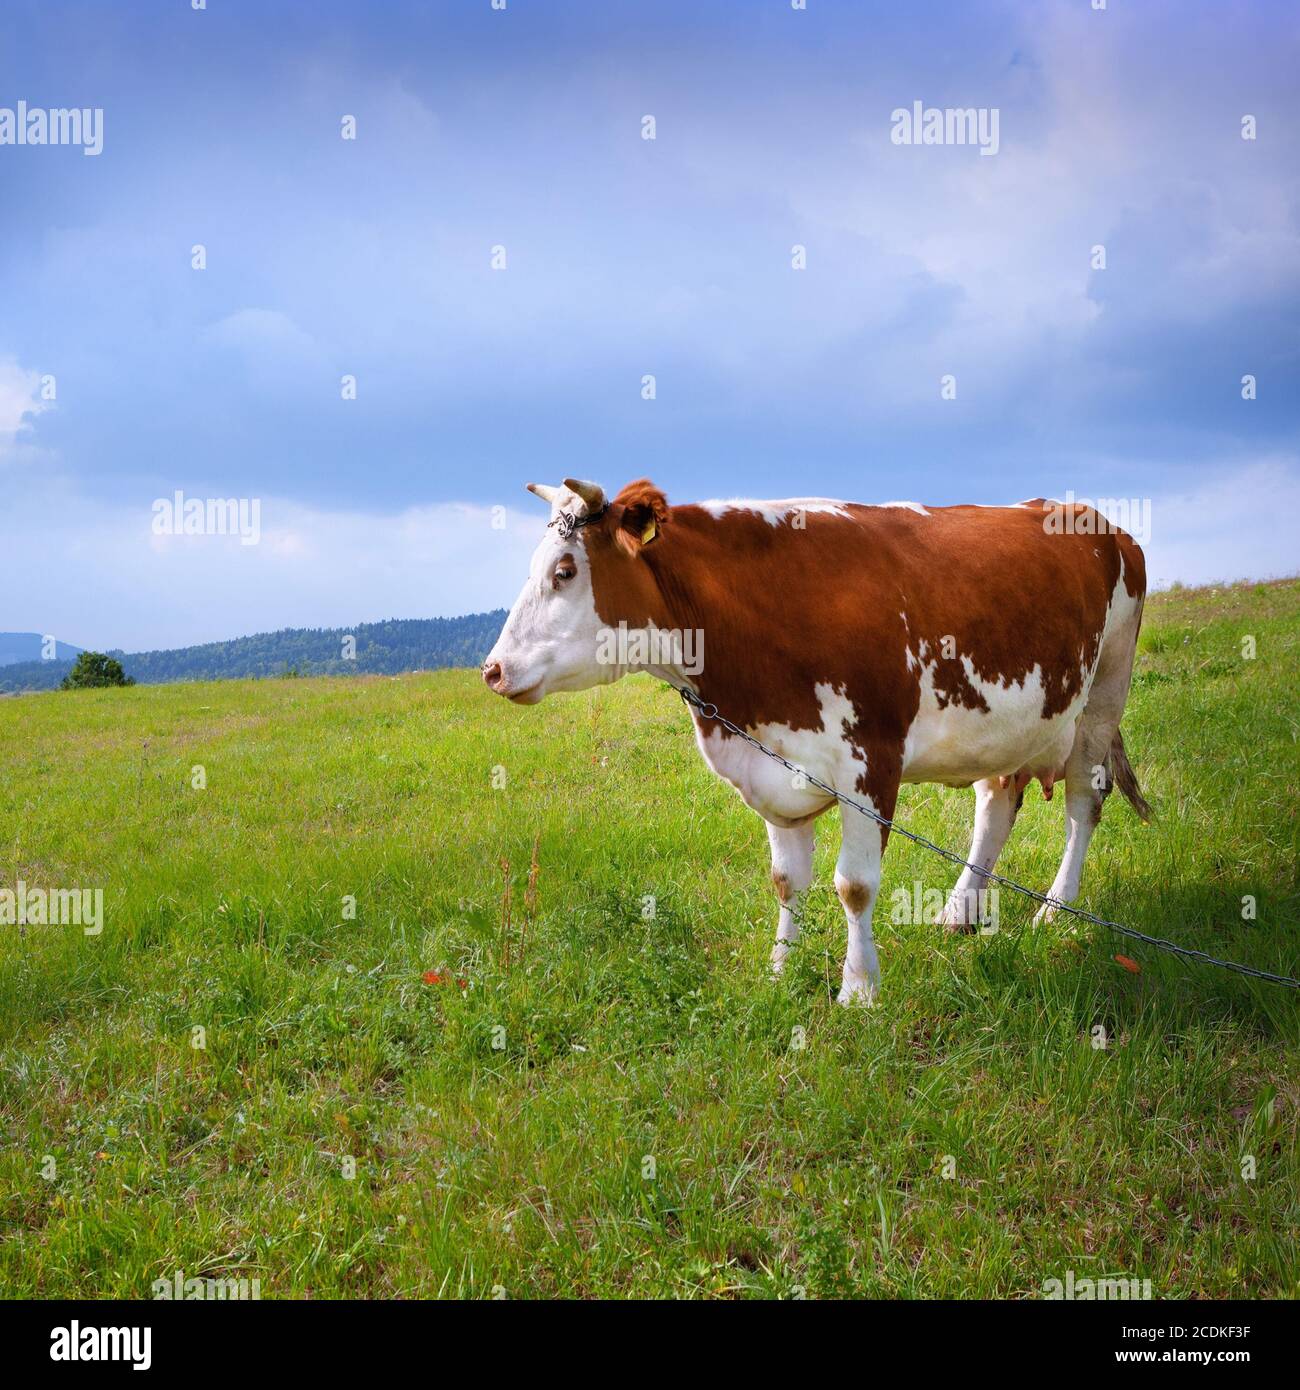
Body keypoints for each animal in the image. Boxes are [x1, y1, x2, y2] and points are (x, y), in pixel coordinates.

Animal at [482, 477, 1150, 1004]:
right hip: (1015, 720)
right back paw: (959, 912)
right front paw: (782, 969)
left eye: (564, 571)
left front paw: (858, 990)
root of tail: (1098, 520)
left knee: (1083, 803)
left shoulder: (871, 762)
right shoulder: (770, 761)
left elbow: (854, 885)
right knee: (998, 801)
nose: (492, 670)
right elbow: (787, 880)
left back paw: (1055, 910)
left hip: (1104, 693)